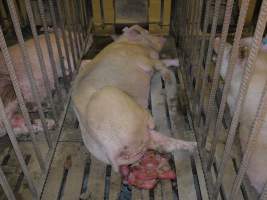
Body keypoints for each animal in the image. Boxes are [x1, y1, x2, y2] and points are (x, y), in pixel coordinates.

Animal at [71, 25, 197, 191]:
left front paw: (177, 61)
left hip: (141, 140)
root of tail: (109, 149)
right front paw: (171, 70)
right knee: (153, 128)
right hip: (111, 95)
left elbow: (165, 61)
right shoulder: (146, 61)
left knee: (164, 143)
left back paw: (194, 145)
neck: (130, 43)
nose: (163, 37)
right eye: (145, 31)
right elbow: (160, 64)